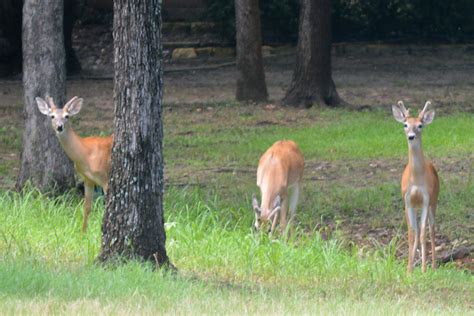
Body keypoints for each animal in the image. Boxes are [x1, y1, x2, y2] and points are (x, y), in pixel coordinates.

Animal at [36, 96, 112, 232]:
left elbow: (106, 206)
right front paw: (83, 232)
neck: (85, 155)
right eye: (52, 116)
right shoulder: (87, 179)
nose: (59, 127)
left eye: (67, 116)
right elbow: (87, 207)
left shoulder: (105, 177)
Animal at [392, 101, 440, 274]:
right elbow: (412, 234)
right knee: (418, 229)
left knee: (432, 229)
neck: (416, 180)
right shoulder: (407, 201)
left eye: (420, 125)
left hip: (434, 201)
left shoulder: (426, 199)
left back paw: (433, 266)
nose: (411, 136)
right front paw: (409, 270)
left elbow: (423, 233)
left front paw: (424, 269)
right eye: (405, 124)